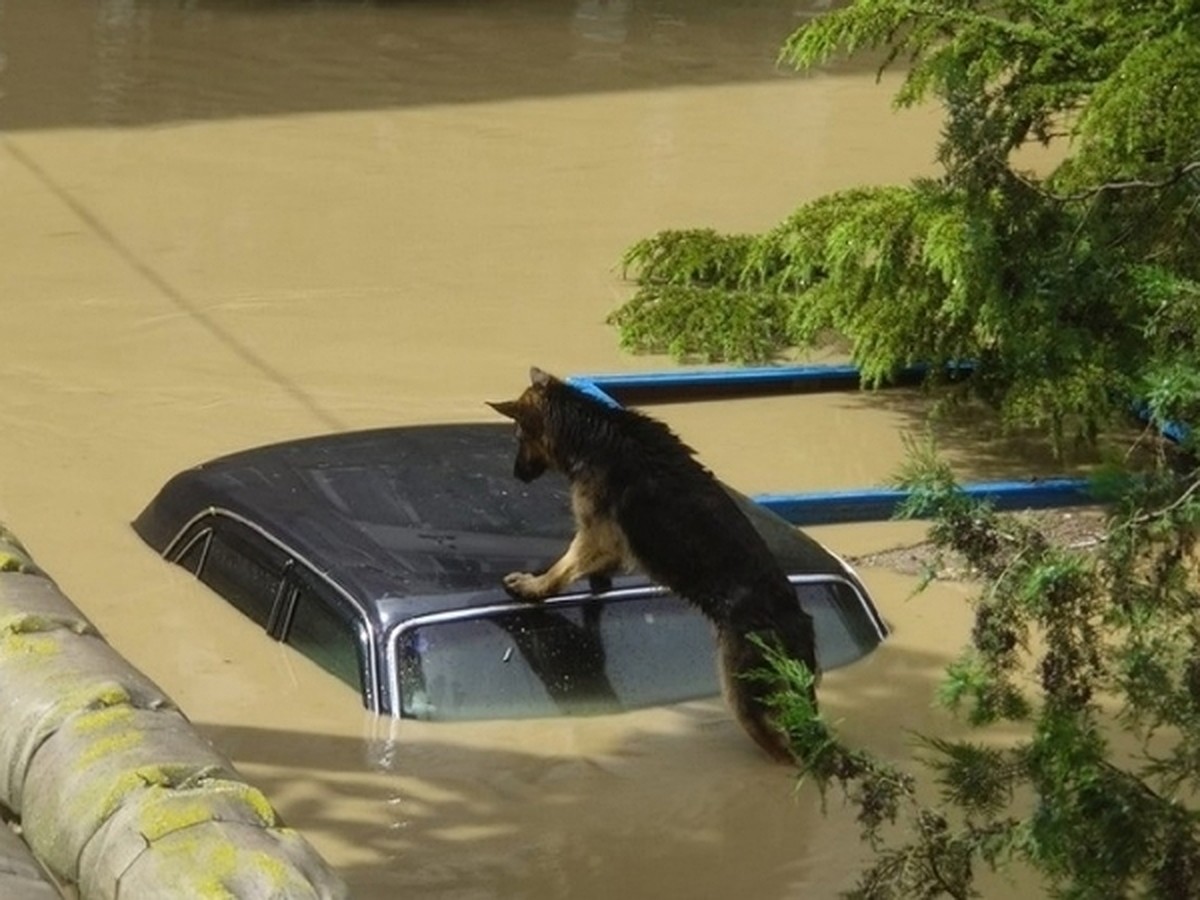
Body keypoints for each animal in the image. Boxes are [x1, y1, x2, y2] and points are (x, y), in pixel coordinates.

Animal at [484, 367, 816, 763]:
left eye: (520, 437)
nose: (517, 474)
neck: (591, 426)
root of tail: (796, 619)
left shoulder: (593, 532)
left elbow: (562, 568)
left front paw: (532, 587)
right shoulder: (607, 539)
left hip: (744, 696)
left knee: (784, 748)